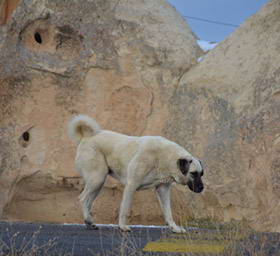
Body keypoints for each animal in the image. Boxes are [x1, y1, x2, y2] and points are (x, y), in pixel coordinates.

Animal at [68, 115, 203, 233]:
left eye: (201, 174)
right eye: (193, 173)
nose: (202, 188)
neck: (166, 157)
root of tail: (87, 136)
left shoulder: (163, 189)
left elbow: (168, 212)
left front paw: (175, 228)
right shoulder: (131, 185)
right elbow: (125, 209)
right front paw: (123, 227)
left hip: (97, 184)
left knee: (88, 201)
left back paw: (89, 223)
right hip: (97, 179)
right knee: (83, 198)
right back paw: (88, 220)